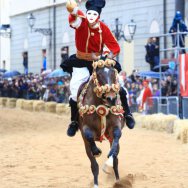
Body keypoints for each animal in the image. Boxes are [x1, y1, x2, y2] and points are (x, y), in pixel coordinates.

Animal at [78, 58, 125, 188]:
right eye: (98, 74)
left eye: (113, 72)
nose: (111, 98)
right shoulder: (86, 129)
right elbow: (89, 136)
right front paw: (96, 151)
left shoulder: (115, 126)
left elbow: (116, 141)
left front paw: (109, 163)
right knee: (93, 164)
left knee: (115, 159)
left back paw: (117, 179)